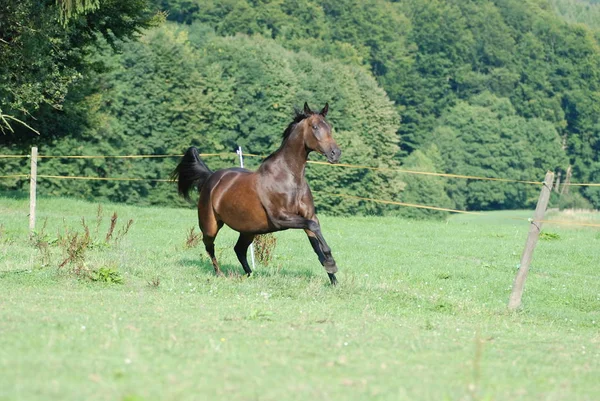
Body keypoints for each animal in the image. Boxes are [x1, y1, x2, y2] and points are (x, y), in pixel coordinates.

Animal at [172, 103, 342, 284]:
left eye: (329, 126)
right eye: (315, 127)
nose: (335, 153)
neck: (289, 178)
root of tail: (211, 177)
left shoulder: (308, 215)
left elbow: (317, 243)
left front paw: (333, 279)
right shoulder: (281, 218)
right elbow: (314, 228)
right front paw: (331, 264)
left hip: (249, 230)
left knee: (239, 249)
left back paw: (250, 274)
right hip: (210, 225)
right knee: (209, 246)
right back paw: (220, 274)